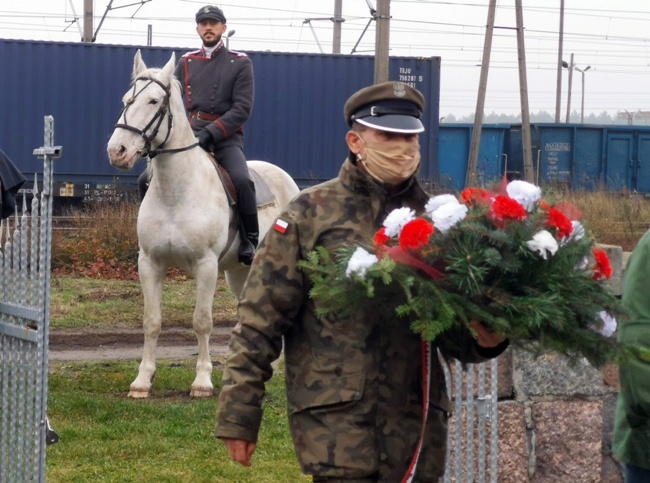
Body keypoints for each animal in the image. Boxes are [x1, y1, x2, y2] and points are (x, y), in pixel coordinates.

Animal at [106, 51, 298, 398]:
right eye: (127, 99)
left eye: (154, 101)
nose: (118, 151)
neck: (176, 192)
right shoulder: (149, 263)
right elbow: (151, 320)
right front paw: (142, 380)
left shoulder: (207, 266)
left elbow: (202, 321)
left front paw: (202, 381)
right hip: (240, 272)